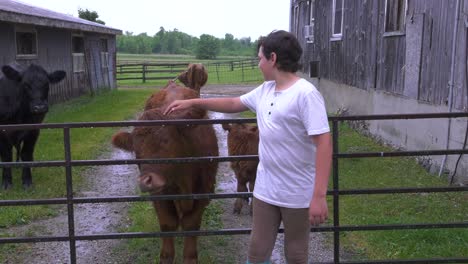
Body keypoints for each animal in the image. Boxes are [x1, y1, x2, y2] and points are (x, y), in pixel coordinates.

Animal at [111, 82, 218, 262]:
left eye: (166, 140)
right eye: (136, 149)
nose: (146, 181)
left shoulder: (203, 189)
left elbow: (191, 224)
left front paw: (190, 257)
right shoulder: (160, 194)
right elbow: (168, 223)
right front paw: (166, 257)